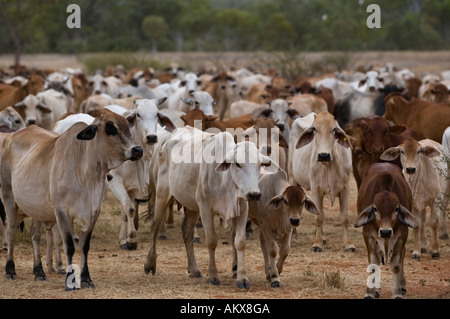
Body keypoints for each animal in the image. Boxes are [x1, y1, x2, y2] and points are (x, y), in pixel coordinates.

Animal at [356, 162, 418, 300]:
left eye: (396, 209)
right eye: (375, 209)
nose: (385, 232)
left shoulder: (402, 235)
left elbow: (396, 265)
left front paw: (397, 293)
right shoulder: (368, 235)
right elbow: (374, 264)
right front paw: (370, 292)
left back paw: (402, 285)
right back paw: (377, 289)